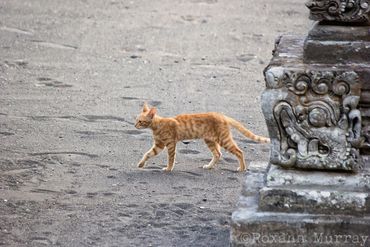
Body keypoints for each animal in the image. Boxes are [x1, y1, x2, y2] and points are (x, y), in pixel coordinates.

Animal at [134, 102, 270, 172]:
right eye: (136, 120)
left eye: (140, 121)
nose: (135, 125)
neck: (157, 126)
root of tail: (222, 115)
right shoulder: (159, 145)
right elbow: (148, 154)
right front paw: (141, 164)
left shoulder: (171, 144)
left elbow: (171, 158)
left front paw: (168, 168)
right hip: (210, 140)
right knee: (218, 154)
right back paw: (209, 166)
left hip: (224, 140)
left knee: (239, 152)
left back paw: (242, 168)